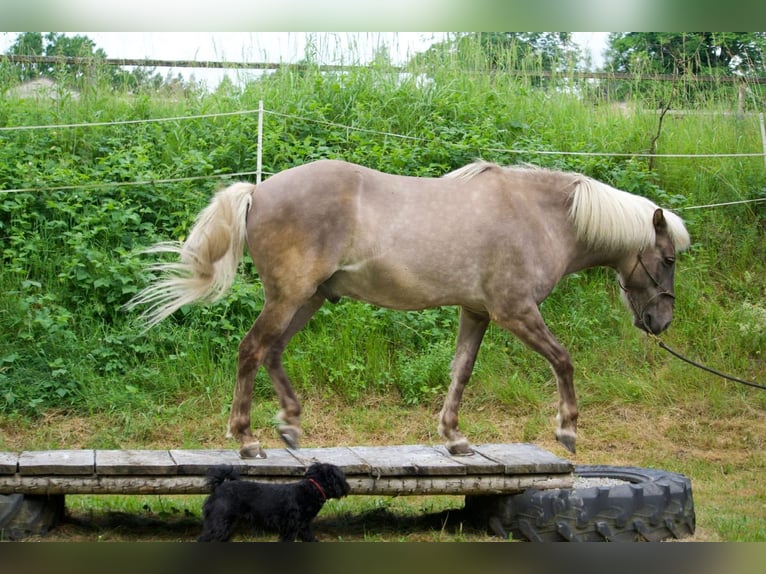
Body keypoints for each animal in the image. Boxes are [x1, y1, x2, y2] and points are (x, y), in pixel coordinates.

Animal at [127, 159, 690, 459]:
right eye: (666, 259)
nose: (660, 321)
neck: (536, 216)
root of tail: (258, 190)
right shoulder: (515, 312)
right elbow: (564, 360)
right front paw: (567, 429)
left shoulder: (477, 313)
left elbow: (461, 371)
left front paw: (455, 437)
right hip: (288, 297)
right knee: (251, 351)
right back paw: (246, 441)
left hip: (308, 299)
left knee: (272, 352)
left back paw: (289, 424)